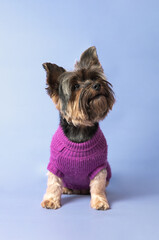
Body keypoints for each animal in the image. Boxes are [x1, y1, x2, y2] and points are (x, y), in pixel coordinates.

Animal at [41, 46, 115, 210]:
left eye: (94, 78)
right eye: (75, 86)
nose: (97, 85)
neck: (80, 129)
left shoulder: (99, 167)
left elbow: (98, 185)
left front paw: (99, 201)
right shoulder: (55, 165)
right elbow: (53, 183)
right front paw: (51, 200)